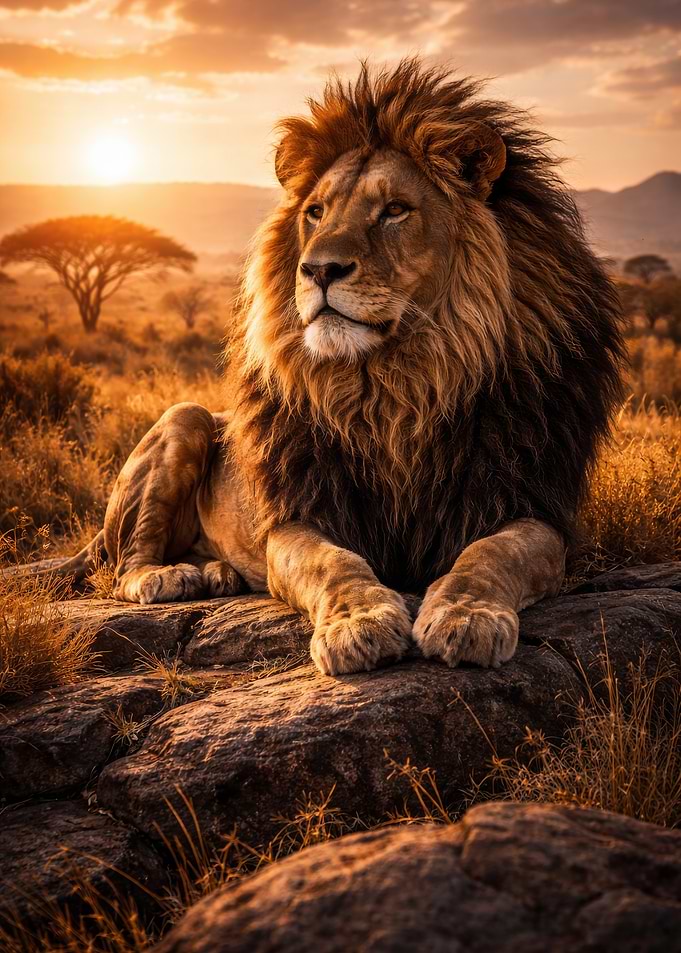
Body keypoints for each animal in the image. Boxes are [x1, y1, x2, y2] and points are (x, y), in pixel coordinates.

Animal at [59, 60, 624, 675]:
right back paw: (167, 577)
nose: (318, 269)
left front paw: (466, 616)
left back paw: (217, 573)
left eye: (395, 210)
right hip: (185, 417)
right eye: (316, 212)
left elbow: (490, 553)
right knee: (122, 567)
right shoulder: (298, 516)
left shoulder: (533, 502)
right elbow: (334, 563)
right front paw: (360, 625)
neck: (401, 384)